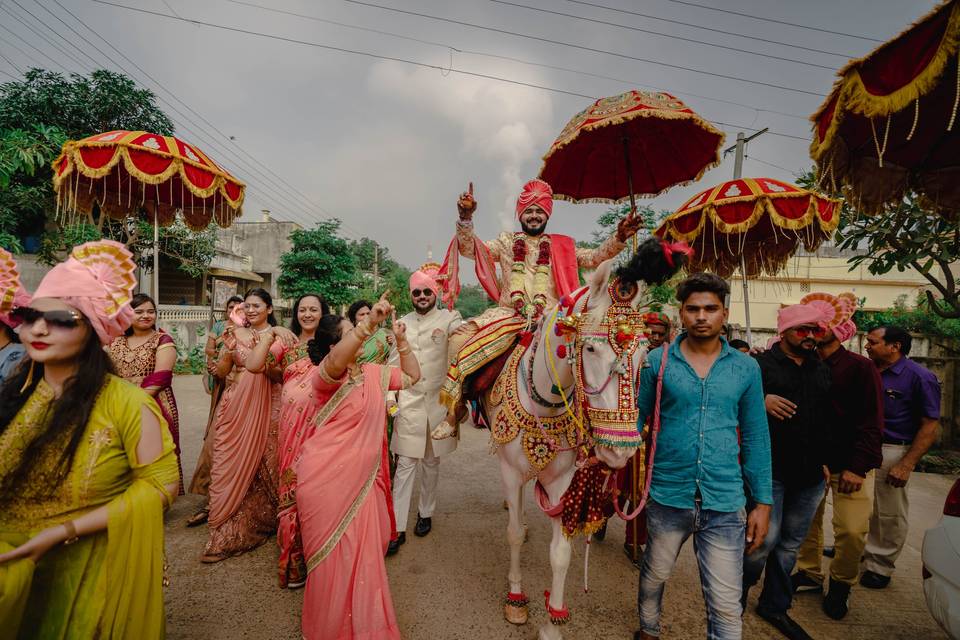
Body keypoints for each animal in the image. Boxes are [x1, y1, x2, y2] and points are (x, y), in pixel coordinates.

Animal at [480, 242, 684, 636]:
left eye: (643, 355)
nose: (618, 452)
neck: (544, 402)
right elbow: (512, 535)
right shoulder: (510, 471)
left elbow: (561, 554)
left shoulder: (562, 481)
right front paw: (516, 598)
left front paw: (552, 624)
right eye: (589, 349)